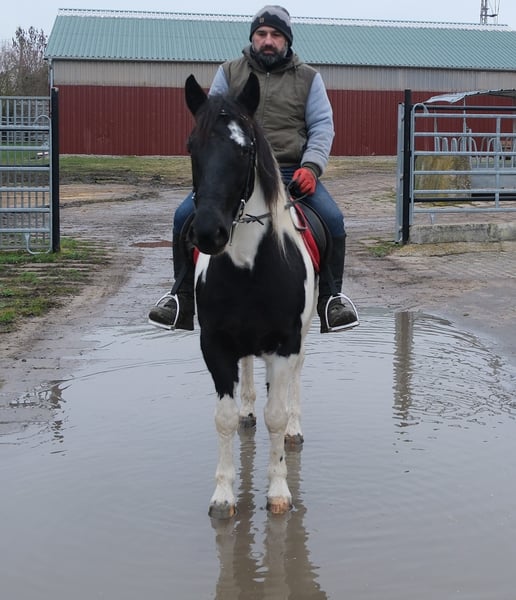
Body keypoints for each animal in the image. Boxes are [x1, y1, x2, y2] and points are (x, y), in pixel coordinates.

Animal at [185, 73, 317, 518]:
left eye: (245, 150)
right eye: (191, 146)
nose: (208, 232)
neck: (248, 267)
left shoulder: (285, 343)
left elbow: (275, 415)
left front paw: (279, 491)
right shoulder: (216, 345)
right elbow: (223, 418)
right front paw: (224, 495)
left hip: (301, 339)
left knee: (293, 384)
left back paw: (295, 428)